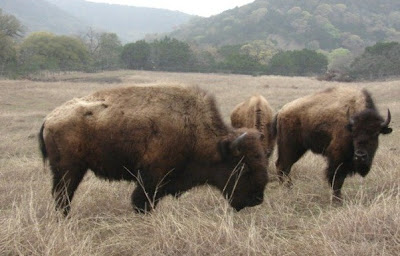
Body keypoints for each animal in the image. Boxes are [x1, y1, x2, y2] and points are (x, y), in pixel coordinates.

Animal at [39, 84, 268, 214]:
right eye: (242, 167)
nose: (256, 200)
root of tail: (50, 118)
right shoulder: (151, 177)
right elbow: (141, 202)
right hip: (68, 169)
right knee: (63, 196)